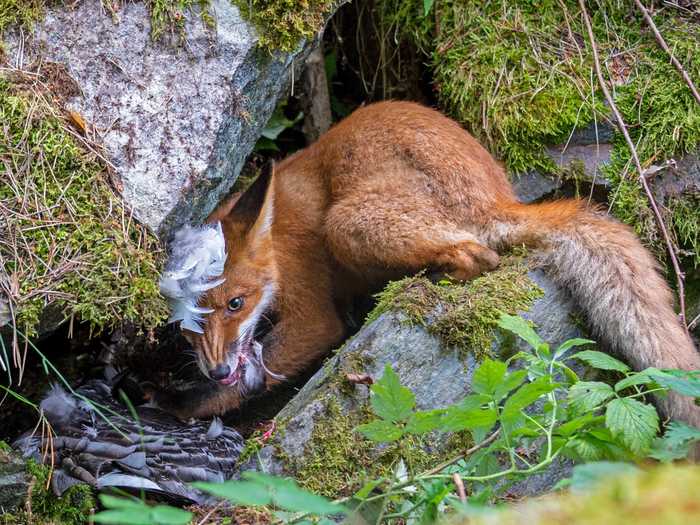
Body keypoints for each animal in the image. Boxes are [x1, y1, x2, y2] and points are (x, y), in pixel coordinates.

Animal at [157, 99, 700, 426]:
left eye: (236, 303)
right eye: (186, 324)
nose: (217, 369)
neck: (279, 240)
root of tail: (496, 197)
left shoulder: (313, 315)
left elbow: (255, 376)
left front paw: (182, 403)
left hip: (348, 223)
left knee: (480, 254)